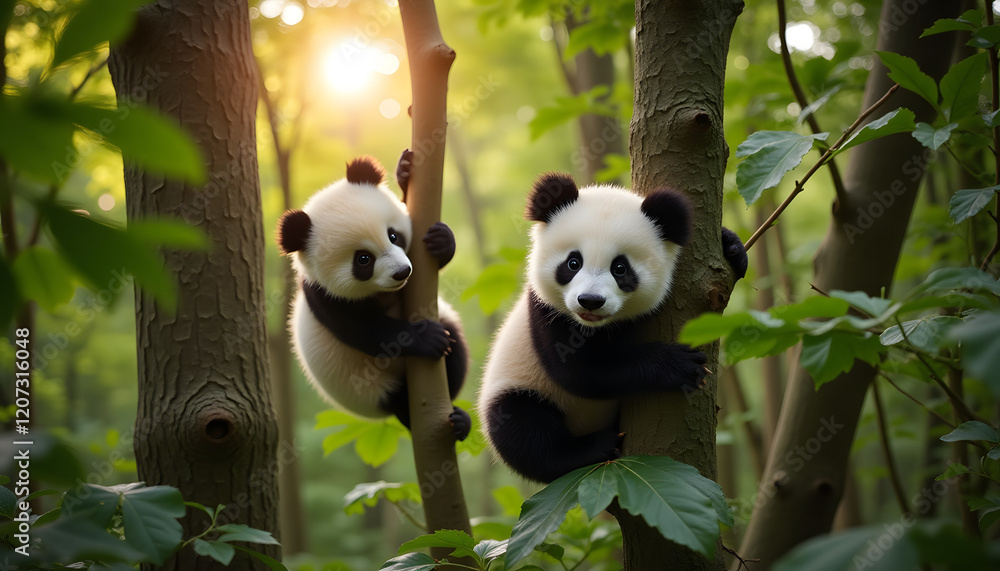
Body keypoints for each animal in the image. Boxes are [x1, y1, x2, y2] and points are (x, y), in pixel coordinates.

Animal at [277, 152, 471, 440]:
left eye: (393, 235)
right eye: (363, 259)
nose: (402, 272)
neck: (383, 293)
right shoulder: (322, 295)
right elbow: (365, 331)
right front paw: (426, 338)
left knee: (455, 347)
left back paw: (459, 420)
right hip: (372, 390)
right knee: (398, 401)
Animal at [477, 173, 748, 482]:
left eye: (620, 268)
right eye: (573, 262)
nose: (590, 301)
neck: (597, 326)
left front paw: (733, 247)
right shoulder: (546, 311)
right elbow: (580, 371)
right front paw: (679, 365)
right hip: (520, 386)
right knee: (524, 431)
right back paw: (596, 446)